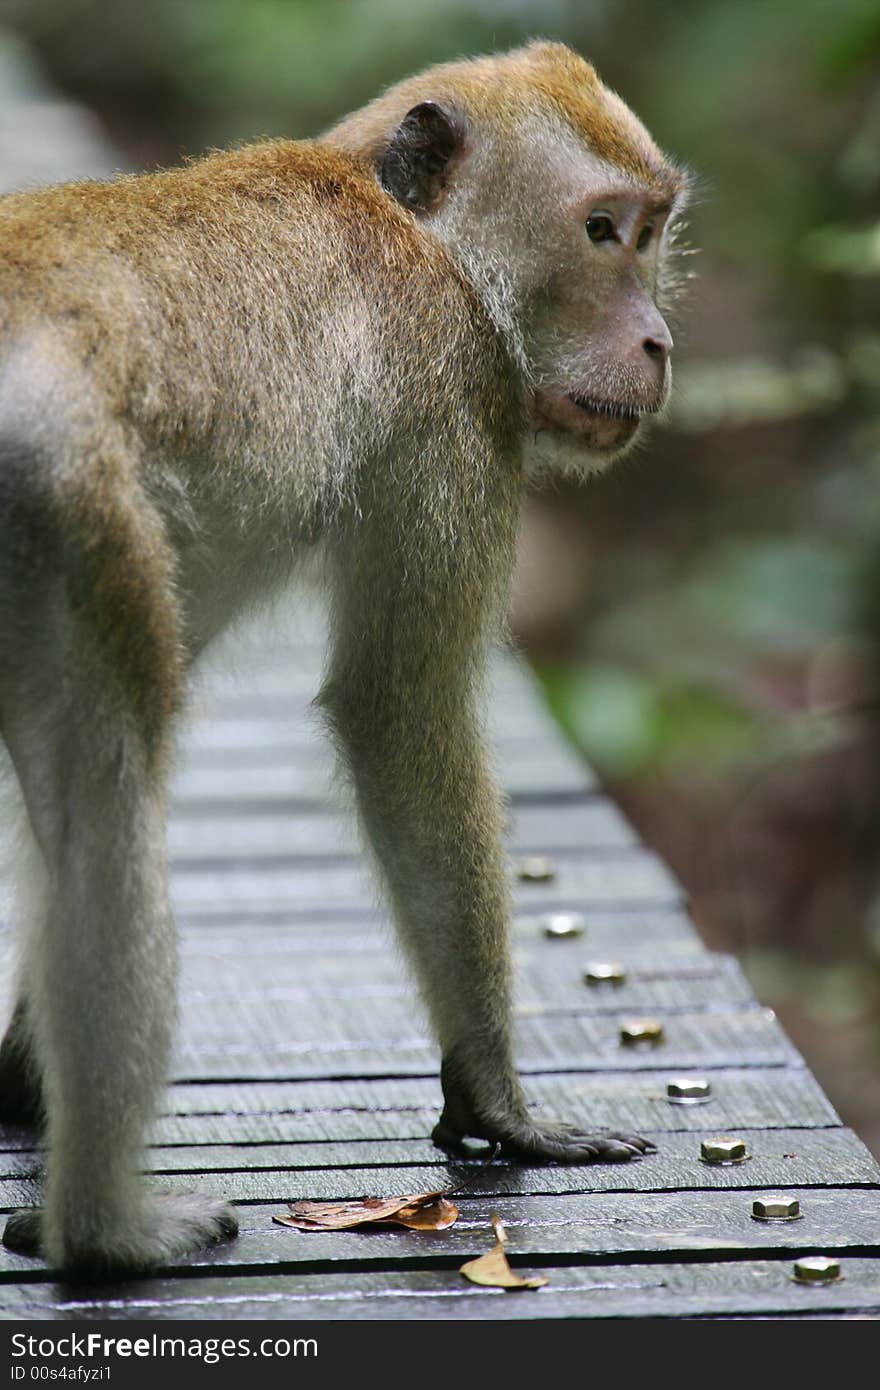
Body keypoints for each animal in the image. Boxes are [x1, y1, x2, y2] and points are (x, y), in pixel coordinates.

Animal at [0, 38, 686, 1273]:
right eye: (602, 230)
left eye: (653, 232)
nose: (657, 340)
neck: (414, 230)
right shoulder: (454, 390)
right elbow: (398, 714)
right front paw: (495, 1103)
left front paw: (13, 1071)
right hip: (66, 500)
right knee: (103, 802)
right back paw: (105, 1231)